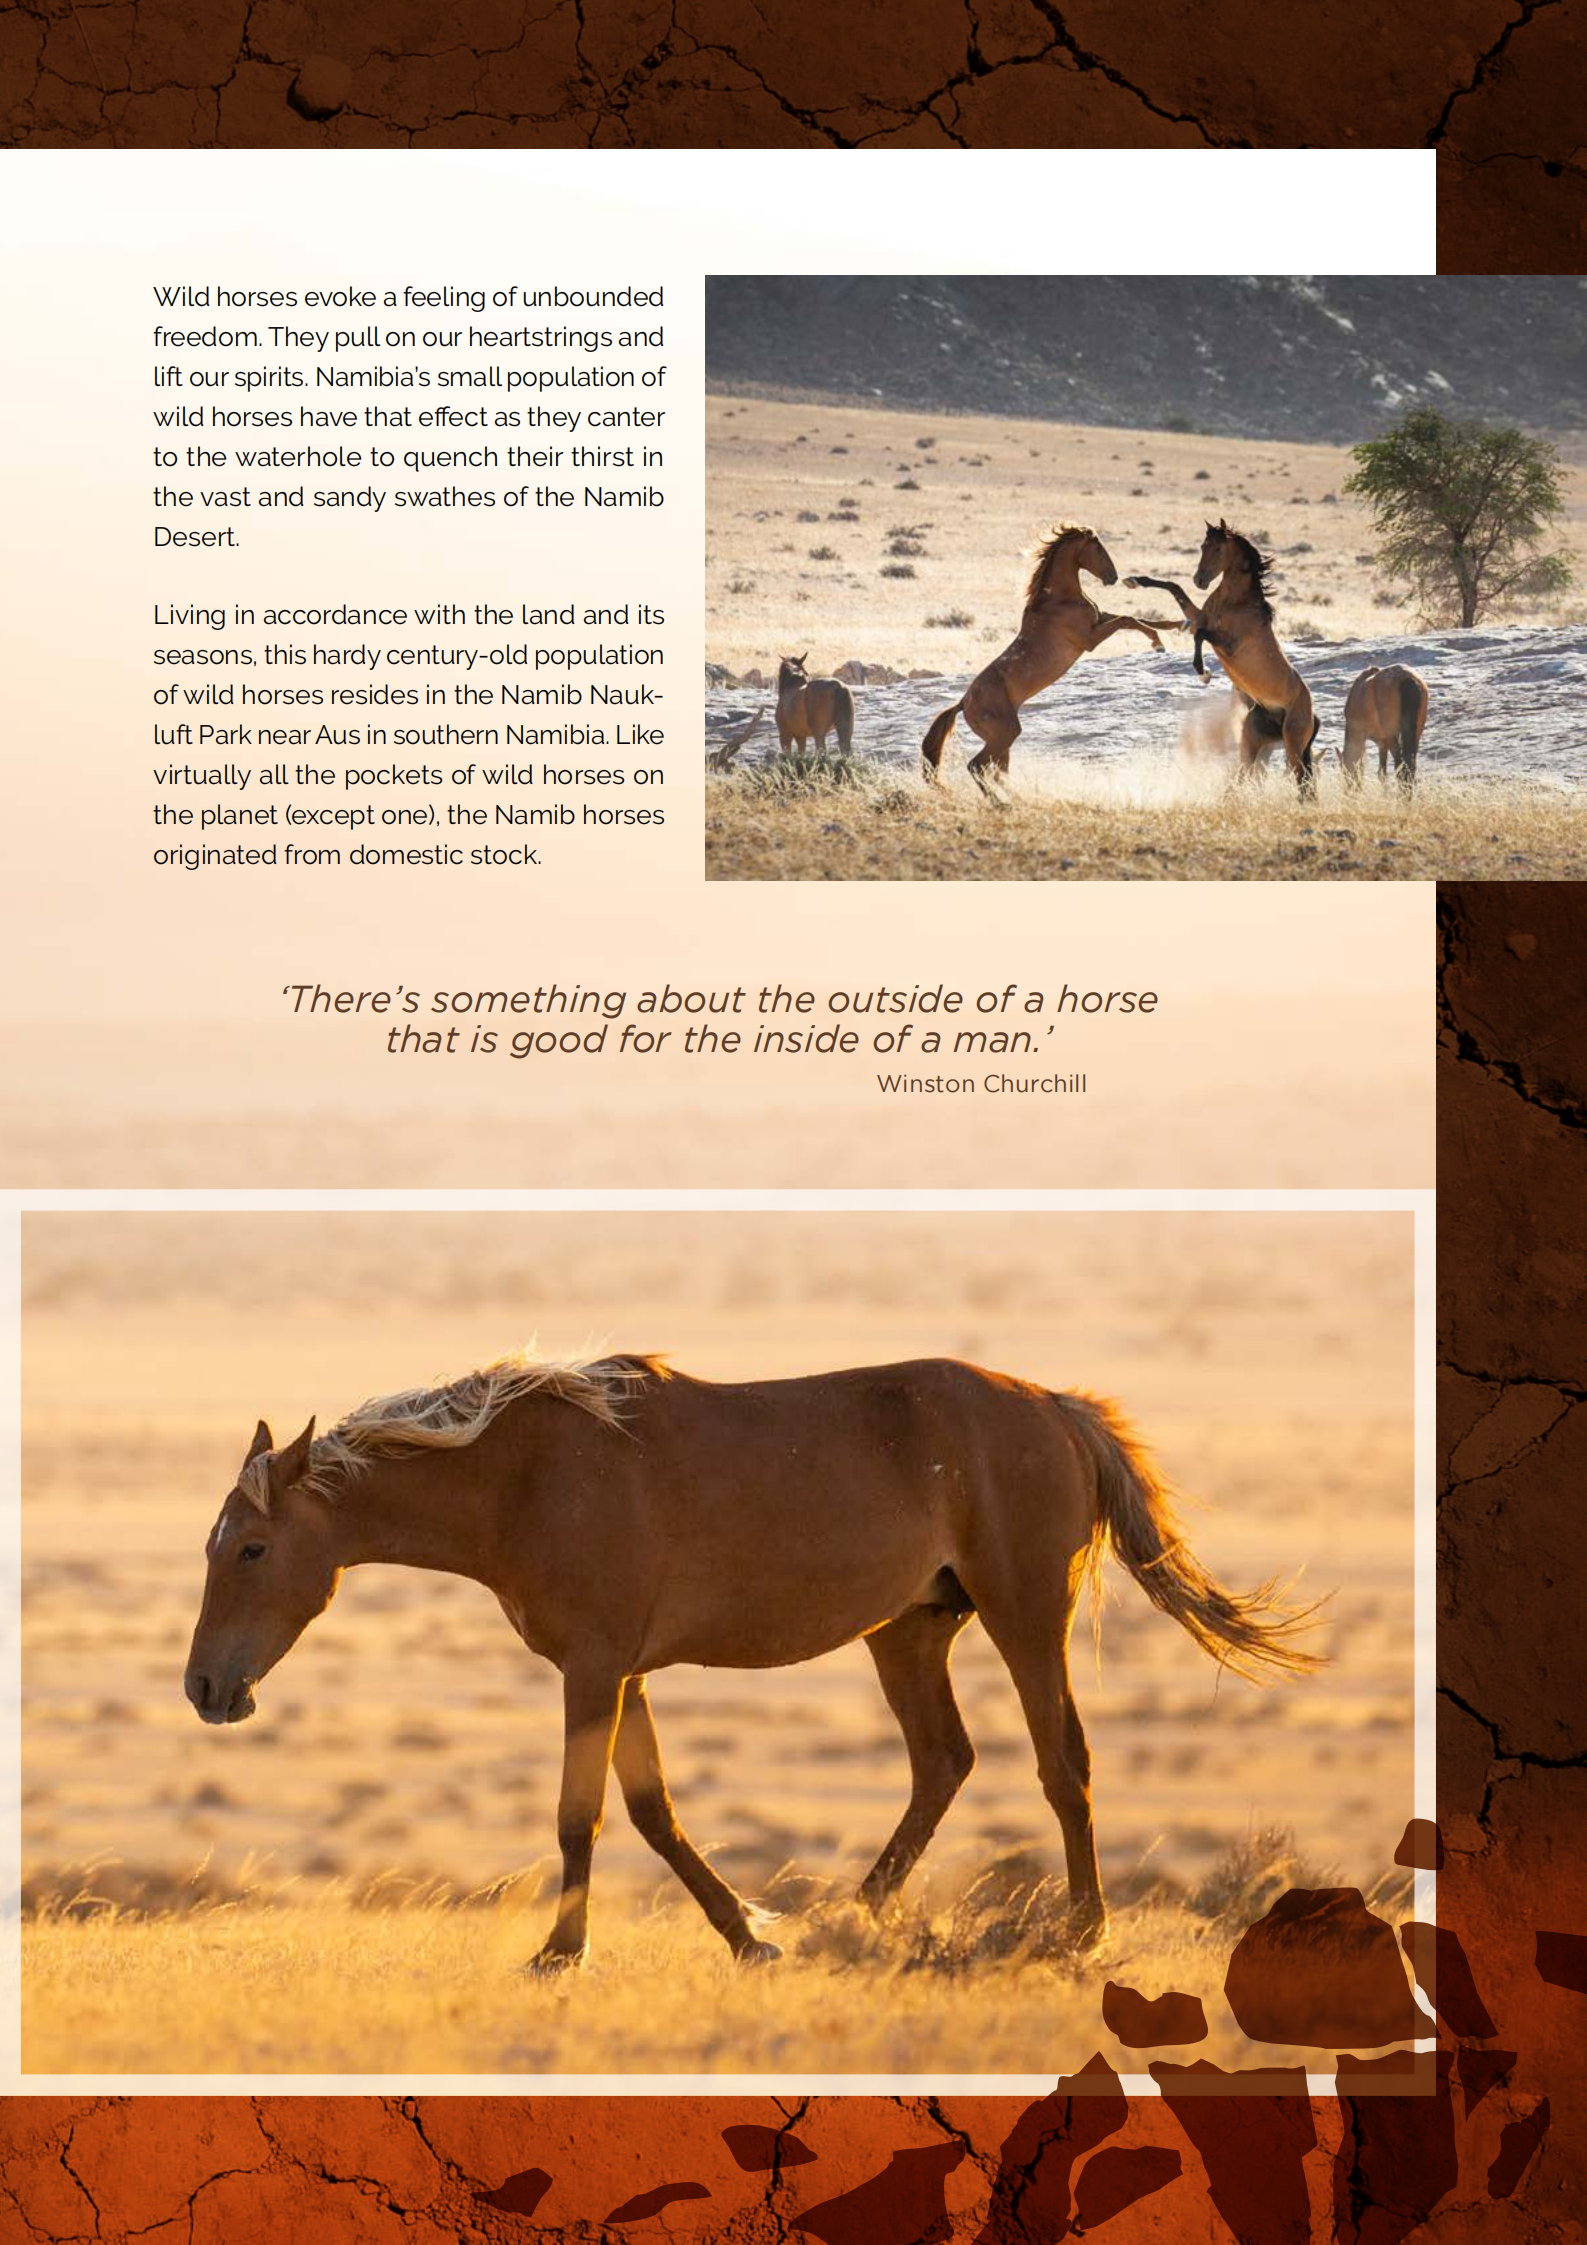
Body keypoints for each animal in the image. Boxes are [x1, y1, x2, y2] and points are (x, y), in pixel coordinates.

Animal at [184, 1348, 1321, 1970]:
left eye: (251, 1549)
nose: (204, 1687)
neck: (526, 1473)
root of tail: (1055, 1407)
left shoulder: (593, 1668)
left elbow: (580, 1815)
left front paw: (559, 1953)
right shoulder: (623, 1671)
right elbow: (652, 1812)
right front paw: (750, 1934)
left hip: (1024, 1616)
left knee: (1060, 1762)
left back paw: (1082, 1931)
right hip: (910, 1629)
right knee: (944, 1762)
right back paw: (851, 1916)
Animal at [921, 526, 1178, 787]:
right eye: (1097, 547)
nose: (1113, 577)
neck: (1059, 599)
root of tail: (964, 702)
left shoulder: (1099, 620)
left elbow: (1137, 619)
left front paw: (1174, 626)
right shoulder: (1090, 639)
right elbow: (1127, 619)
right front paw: (1158, 644)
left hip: (1002, 740)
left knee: (998, 772)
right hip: (1005, 735)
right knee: (977, 766)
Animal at [1127, 522, 1319, 795]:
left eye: (1218, 548)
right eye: (1202, 545)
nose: (1199, 580)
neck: (1236, 601)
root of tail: (1312, 712)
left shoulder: (1227, 644)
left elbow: (1200, 635)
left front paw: (1203, 672)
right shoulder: (1200, 617)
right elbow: (1175, 588)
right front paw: (1134, 580)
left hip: (1293, 744)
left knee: (1302, 781)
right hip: (1254, 740)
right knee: (1251, 773)